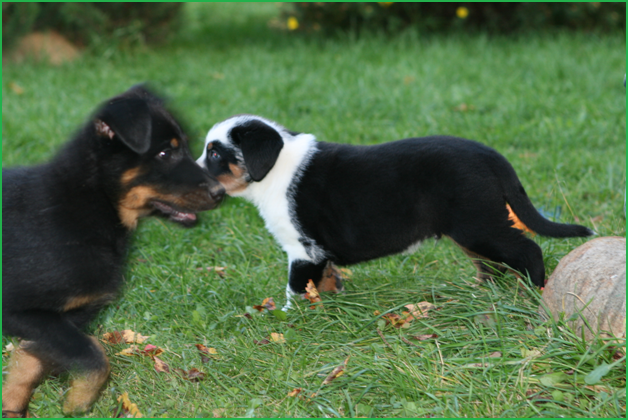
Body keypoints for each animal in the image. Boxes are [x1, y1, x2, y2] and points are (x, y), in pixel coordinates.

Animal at [1, 85, 223, 416]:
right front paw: (78, 401)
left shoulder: (65, 318)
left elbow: (28, 364)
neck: (91, 205)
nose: (221, 193)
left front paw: (12, 408)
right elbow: (95, 355)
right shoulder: (22, 310)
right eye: (164, 153)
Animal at [197, 114, 592, 308]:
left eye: (215, 153)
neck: (273, 169)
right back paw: (480, 293)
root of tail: (489, 154)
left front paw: (288, 321)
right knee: (490, 264)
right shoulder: (317, 254)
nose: (193, 174)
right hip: (473, 227)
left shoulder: (301, 251)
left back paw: (535, 290)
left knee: (527, 248)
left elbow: (295, 288)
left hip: (478, 224)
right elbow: (325, 280)